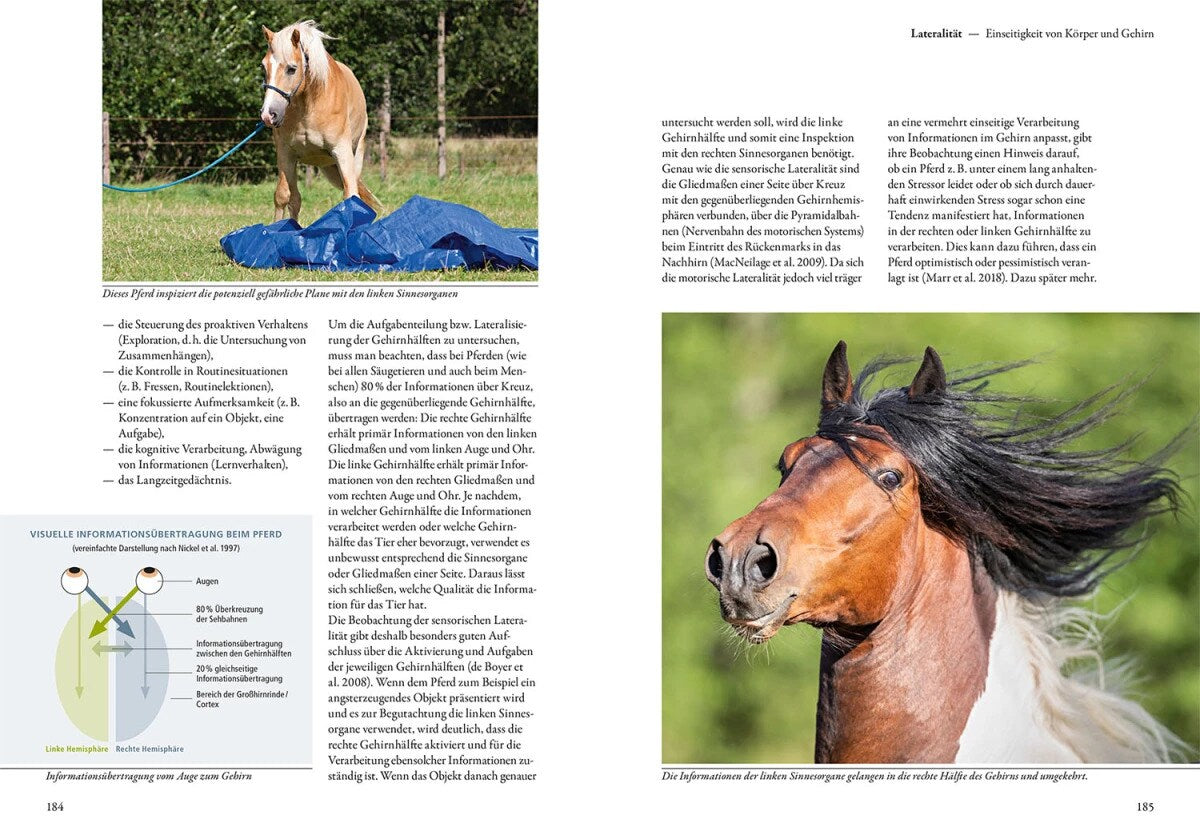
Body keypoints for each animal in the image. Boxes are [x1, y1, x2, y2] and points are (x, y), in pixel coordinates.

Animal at [259, 21, 383, 222]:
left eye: (291, 69)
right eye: (264, 67)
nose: (268, 115)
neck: (310, 106)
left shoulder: (341, 151)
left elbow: (350, 195)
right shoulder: (286, 154)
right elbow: (284, 196)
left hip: (354, 156)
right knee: (295, 199)